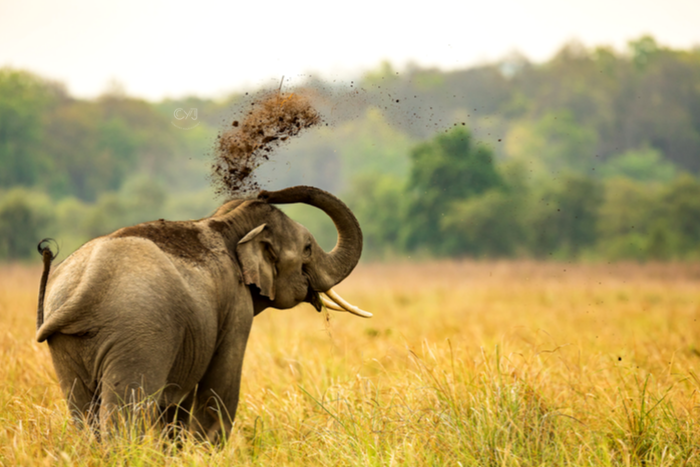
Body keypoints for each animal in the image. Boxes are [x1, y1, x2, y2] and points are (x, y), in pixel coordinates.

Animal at [35, 184, 372, 442]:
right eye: (307, 248)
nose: (266, 192)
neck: (227, 223)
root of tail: (87, 284)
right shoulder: (236, 304)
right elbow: (222, 379)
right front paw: (206, 450)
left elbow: (177, 401)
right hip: (138, 334)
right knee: (126, 412)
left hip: (67, 343)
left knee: (83, 413)